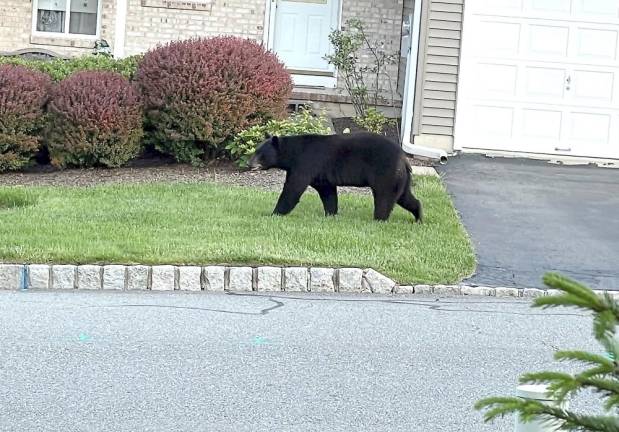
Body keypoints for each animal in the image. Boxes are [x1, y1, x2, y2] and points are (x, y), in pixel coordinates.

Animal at [249, 132, 424, 223]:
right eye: (255, 151)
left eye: (260, 153)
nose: (249, 163)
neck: (292, 153)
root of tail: (404, 158)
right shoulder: (320, 174)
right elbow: (327, 192)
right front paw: (331, 214)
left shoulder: (306, 163)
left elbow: (293, 188)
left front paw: (274, 214)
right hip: (400, 177)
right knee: (404, 197)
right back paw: (418, 217)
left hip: (385, 172)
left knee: (384, 197)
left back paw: (379, 219)